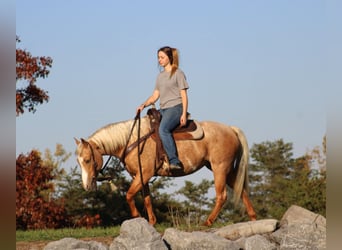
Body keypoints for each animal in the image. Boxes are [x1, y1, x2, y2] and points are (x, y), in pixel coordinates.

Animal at [75, 113, 256, 227]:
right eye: (79, 162)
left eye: (87, 160)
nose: (86, 186)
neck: (132, 140)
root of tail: (230, 129)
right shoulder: (141, 177)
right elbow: (147, 199)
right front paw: (151, 222)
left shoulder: (144, 175)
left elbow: (129, 195)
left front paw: (137, 216)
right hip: (224, 169)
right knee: (241, 190)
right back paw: (253, 218)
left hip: (220, 168)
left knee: (222, 196)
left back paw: (208, 222)